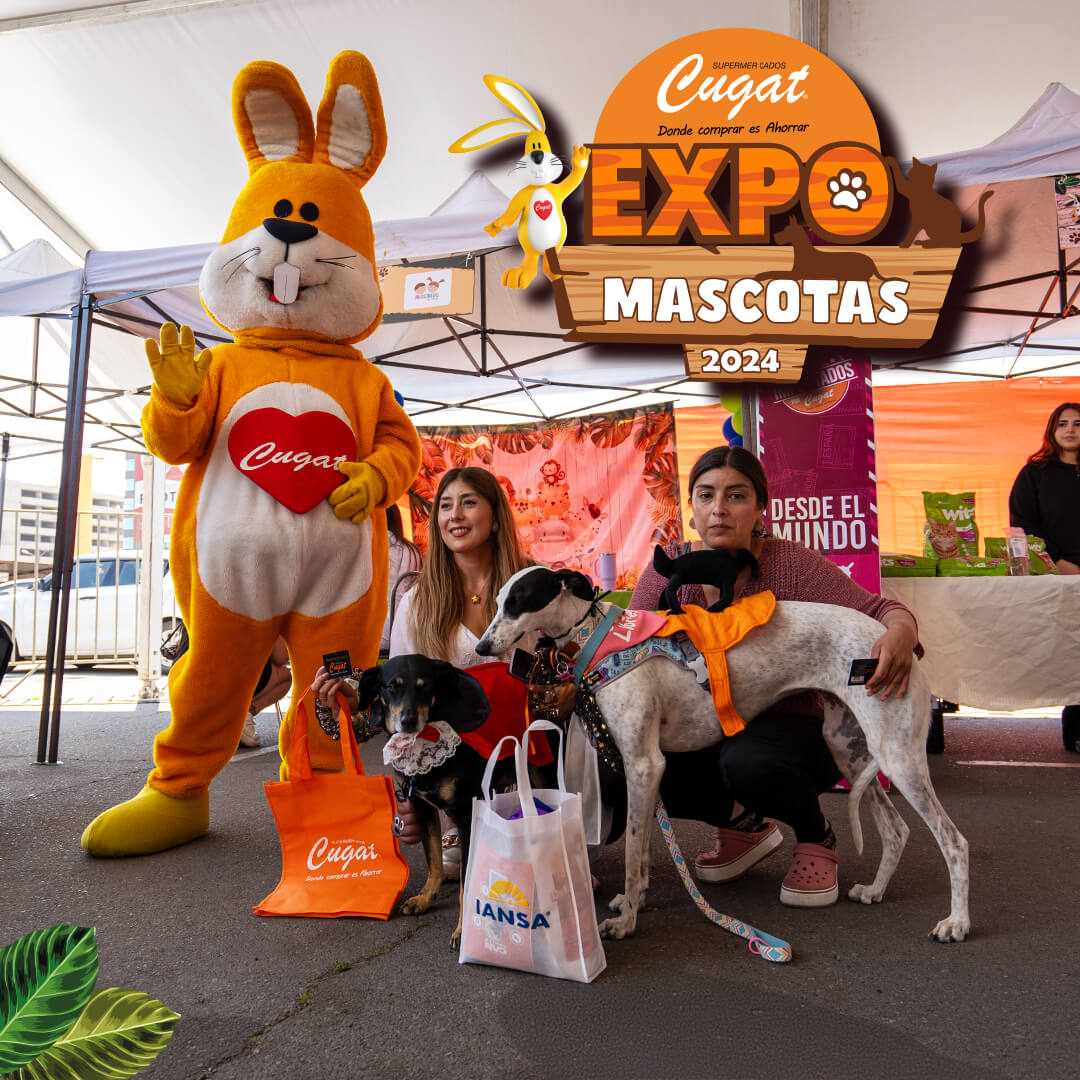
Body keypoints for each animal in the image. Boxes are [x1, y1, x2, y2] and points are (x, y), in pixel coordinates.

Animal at [475, 565, 972, 946]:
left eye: (518, 600)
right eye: (497, 601)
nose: (480, 647)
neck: (601, 638)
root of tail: (894, 641)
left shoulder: (643, 764)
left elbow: (634, 850)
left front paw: (626, 921)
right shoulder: (645, 770)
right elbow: (645, 847)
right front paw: (634, 902)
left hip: (898, 755)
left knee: (953, 841)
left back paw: (956, 923)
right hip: (850, 748)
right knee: (896, 830)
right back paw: (875, 891)